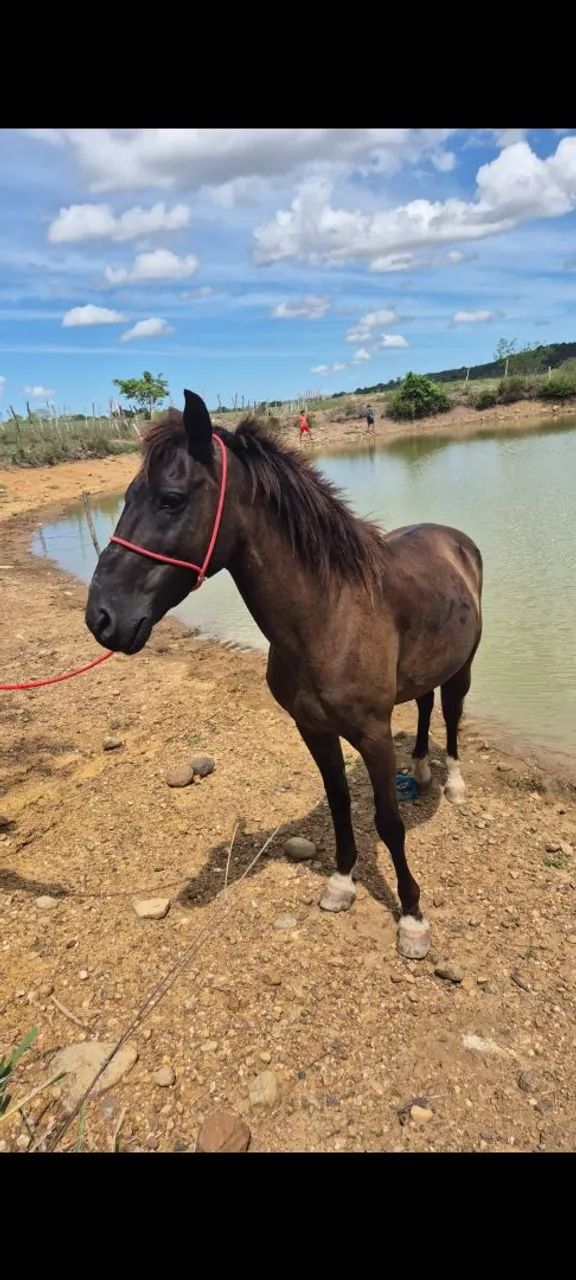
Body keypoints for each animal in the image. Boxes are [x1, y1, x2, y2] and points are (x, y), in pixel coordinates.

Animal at [86, 390, 483, 960]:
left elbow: (388, 821)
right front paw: (341, 882)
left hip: (463, 668)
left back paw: (452, 784)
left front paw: (411, 918)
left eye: (171, 500)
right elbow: (339, 803)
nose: (101, 618)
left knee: (450, 715)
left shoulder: (372, 733)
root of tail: (456, 541)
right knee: (427, 706)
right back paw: (421, 771)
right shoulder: (312, 728)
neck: (329, 614)